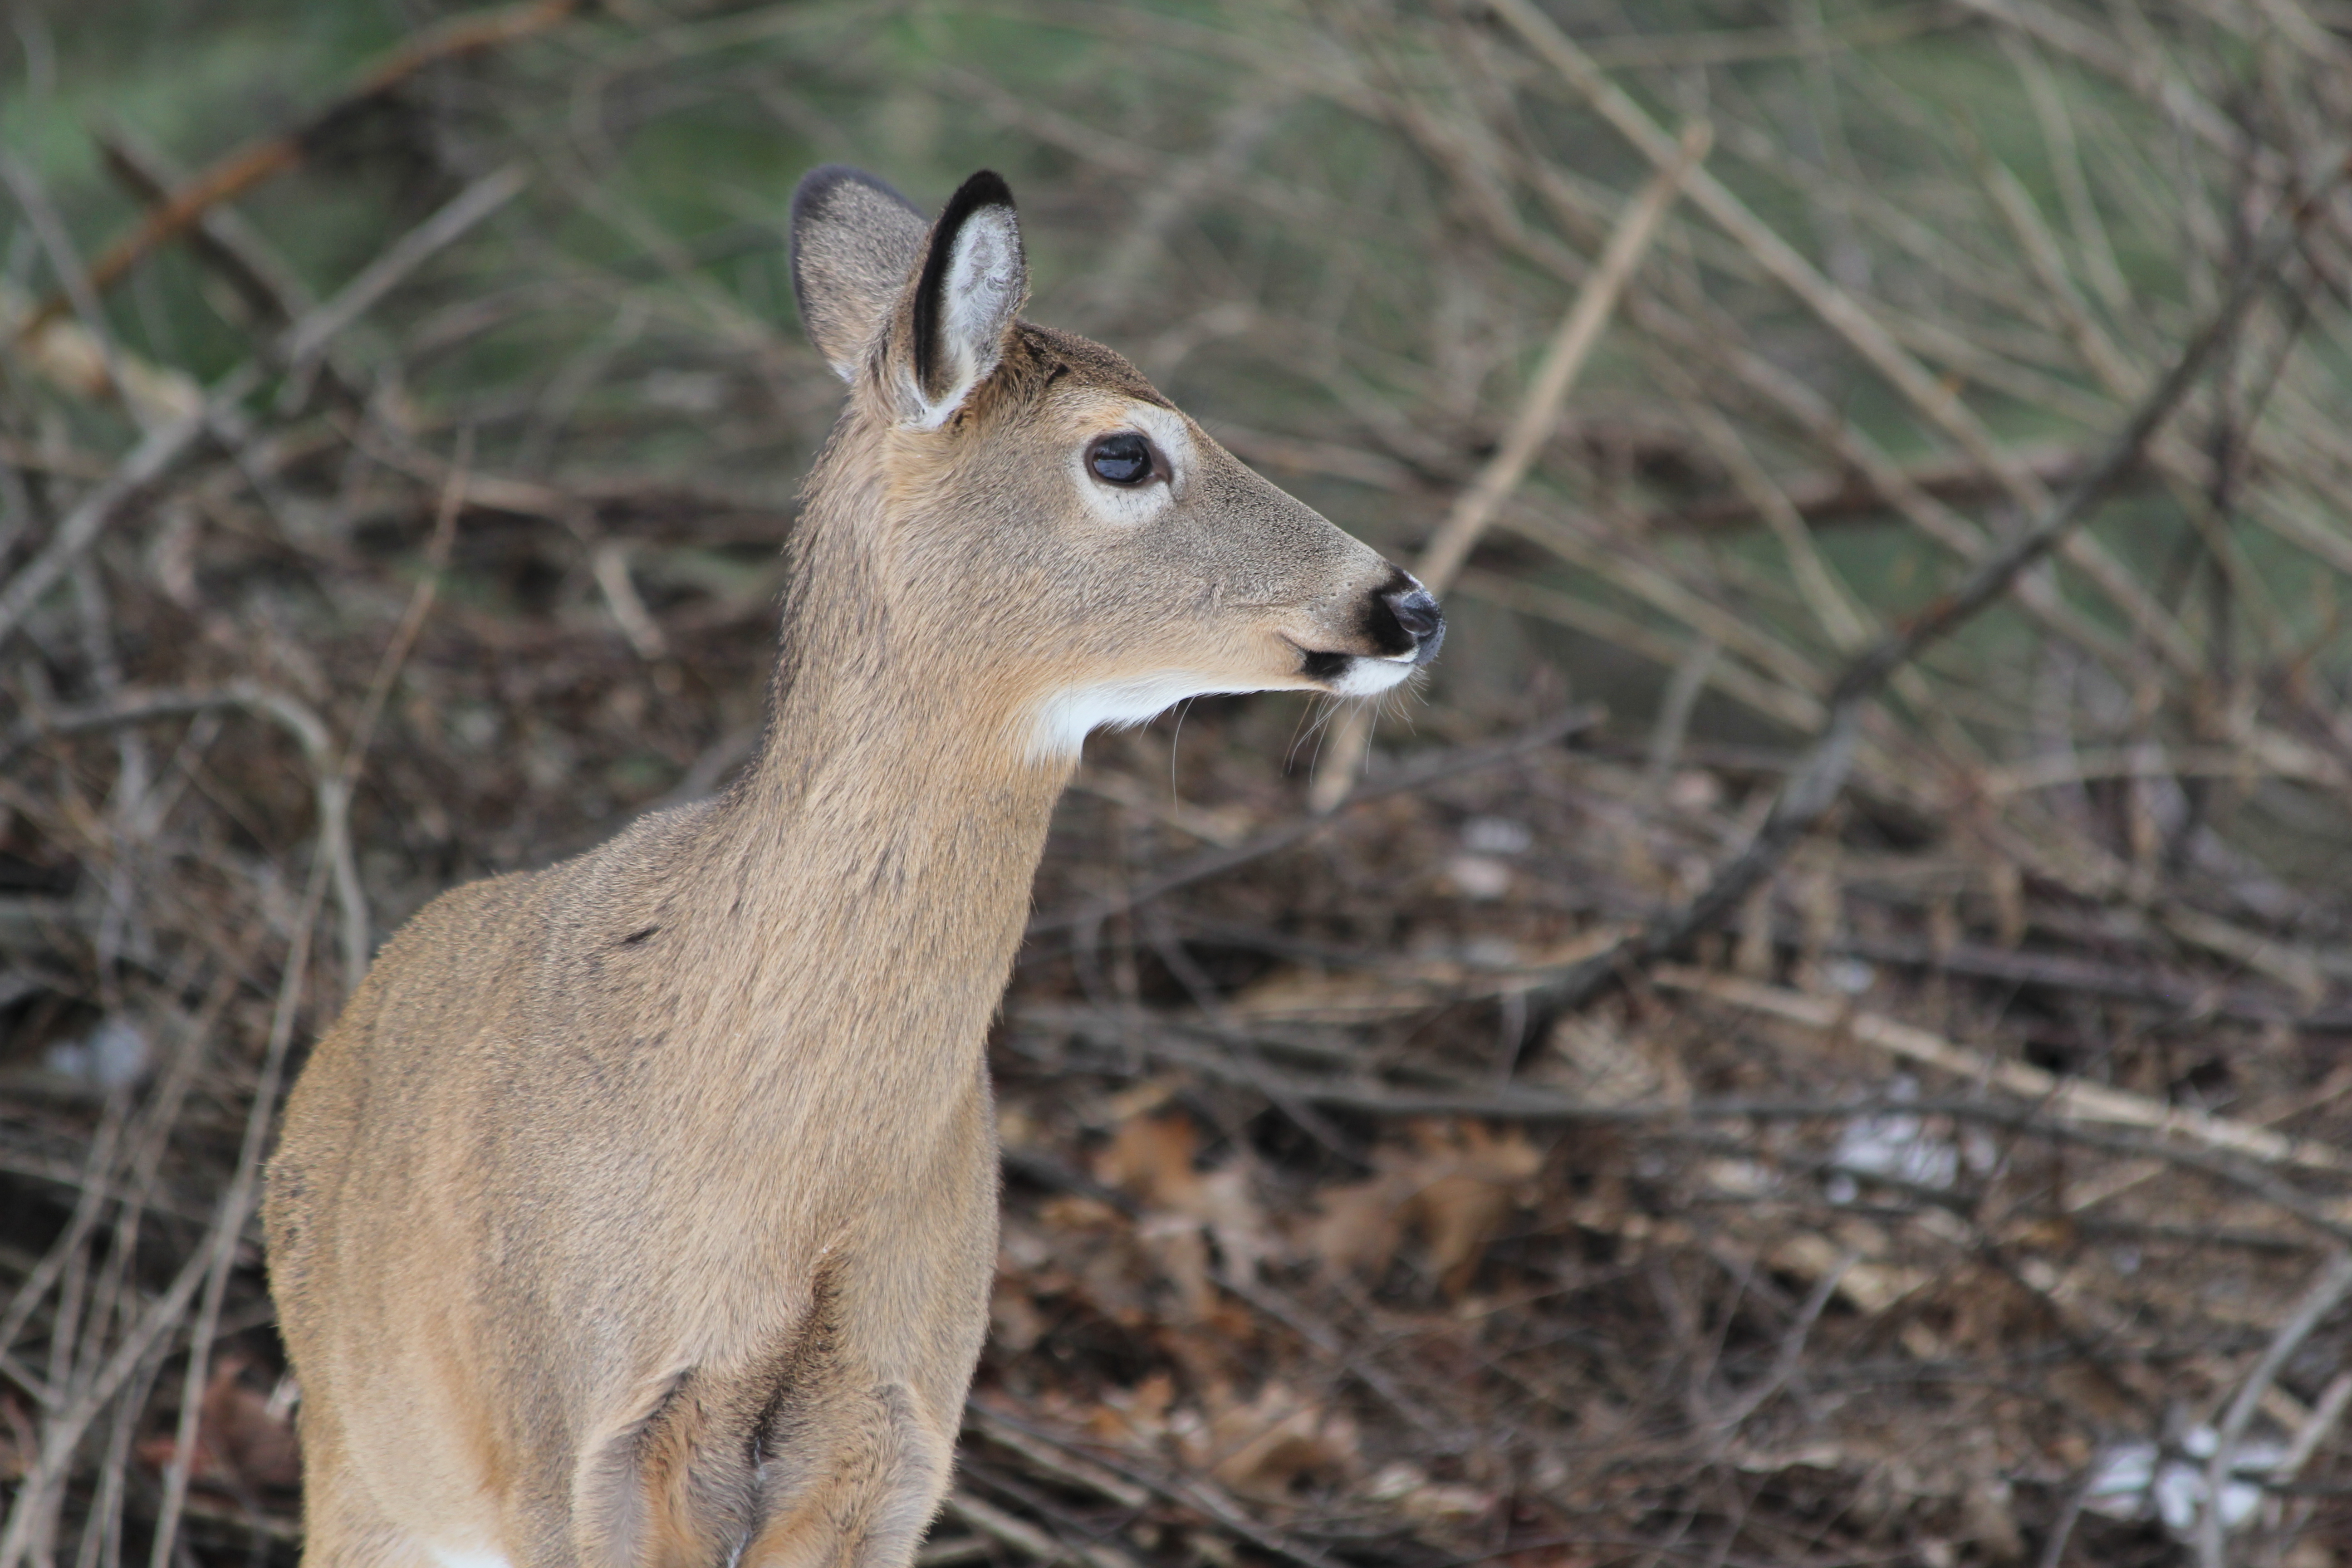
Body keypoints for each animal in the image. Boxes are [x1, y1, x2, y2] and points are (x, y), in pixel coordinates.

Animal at [263, 164, 1443, 1568]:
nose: (1408, 605)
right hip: (370, 1464)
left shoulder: (890, 1444)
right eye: (1123, 452)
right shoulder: (581, 1441)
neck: (793, 1175)